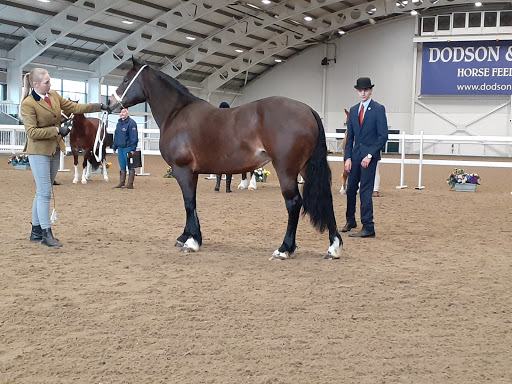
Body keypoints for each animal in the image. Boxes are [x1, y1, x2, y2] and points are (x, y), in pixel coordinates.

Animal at [106, 57, 342, 260]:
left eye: (126, 79)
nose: (109, 104)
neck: (177, 113)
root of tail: (308, 110)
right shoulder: (192, 172)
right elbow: (191, 203)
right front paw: (187, 237)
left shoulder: (183, 170)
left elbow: (189, 203)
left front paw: (191, 241)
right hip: (305, 167)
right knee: (326, 198)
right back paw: (333, 247)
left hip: (286, 169)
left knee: (293, 203)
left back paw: (284, 249)